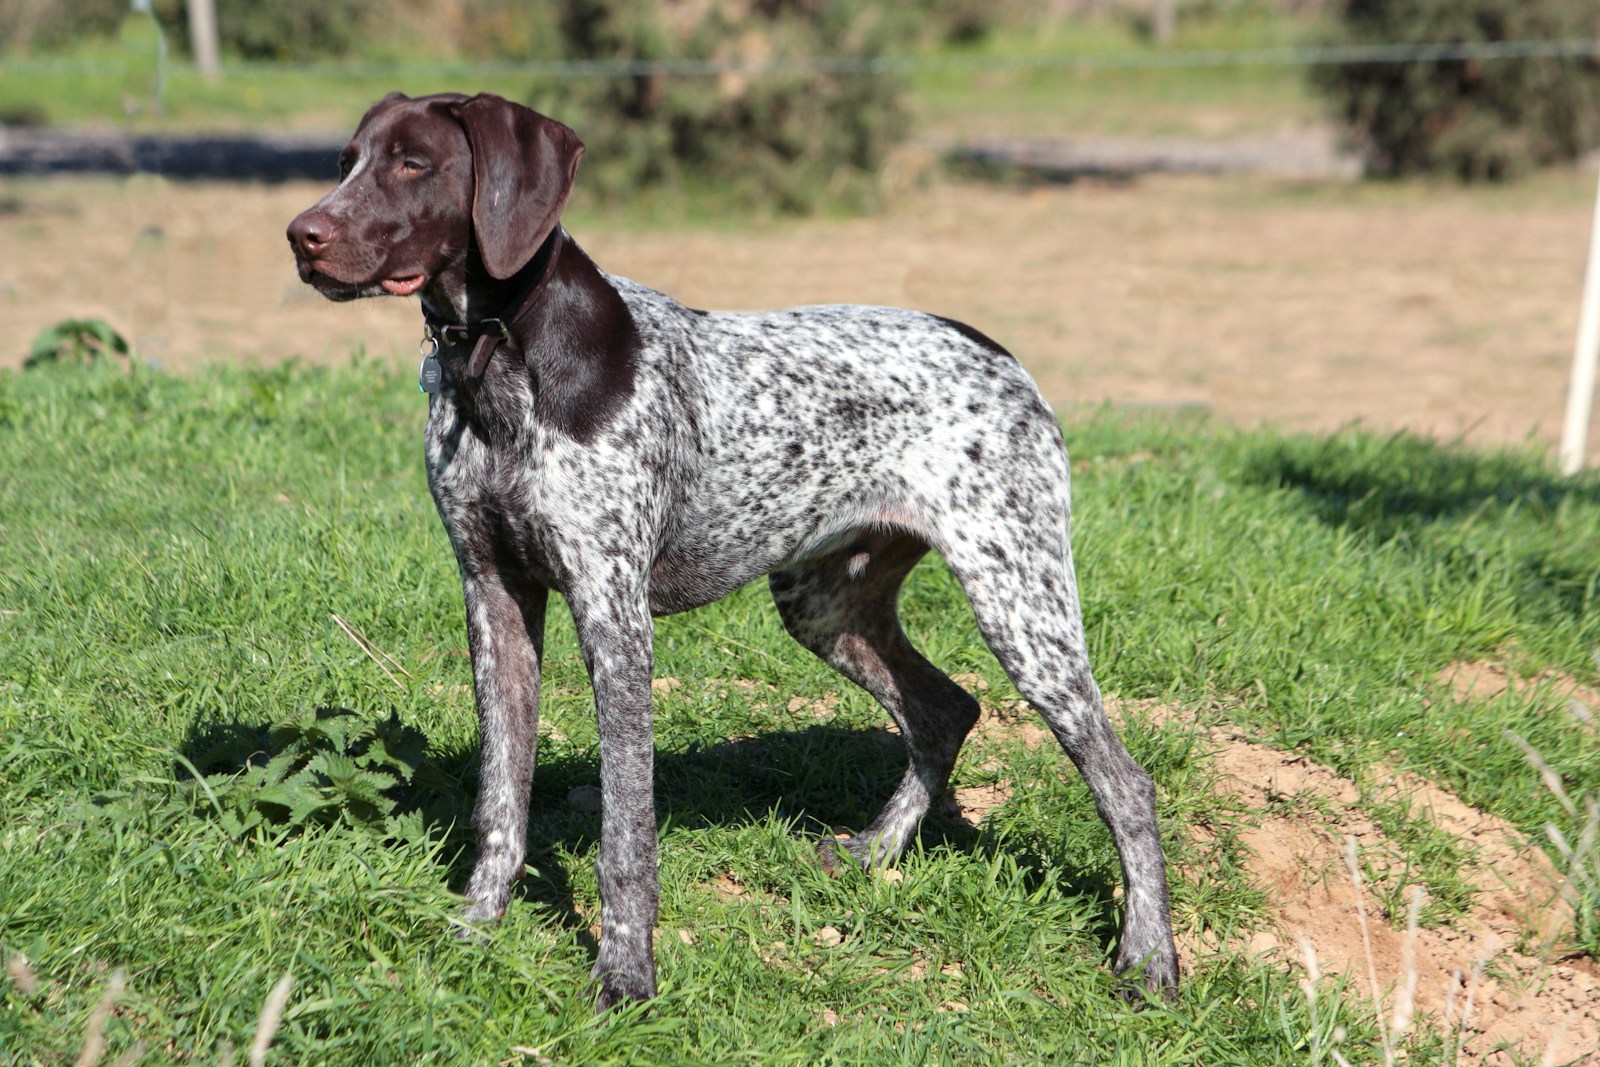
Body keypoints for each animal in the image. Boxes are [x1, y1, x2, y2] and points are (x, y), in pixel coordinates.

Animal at [288, 91, 1177, 1011]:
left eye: (414, 164)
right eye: (348, 161)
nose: (300, 235)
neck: (500, 358)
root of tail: (1004, 356)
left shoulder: (614, 613)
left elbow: (625, 831)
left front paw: (625, 974)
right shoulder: (492, 594)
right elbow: (500, 801)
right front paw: (473, 929)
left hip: (1021, 607)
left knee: (1125, 783)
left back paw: (1148, 955)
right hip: (825, 604)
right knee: (945, 710)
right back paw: (873, 851)